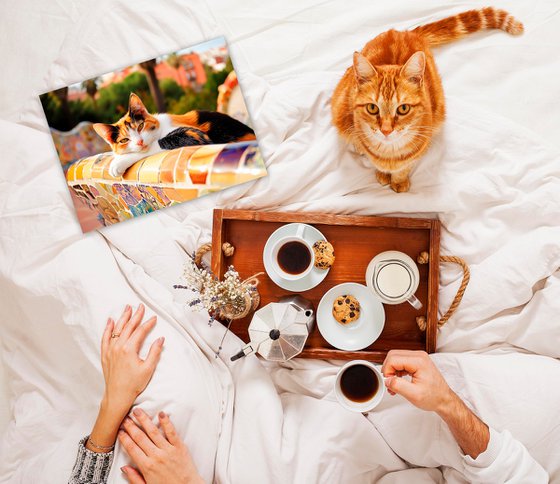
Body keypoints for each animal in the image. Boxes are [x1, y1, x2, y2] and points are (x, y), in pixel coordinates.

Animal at [93, 92, 256, 178]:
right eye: (124, 140)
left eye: (140, 126)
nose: (139, 142)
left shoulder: (193, 134)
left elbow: (155, 145)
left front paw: (118, 162)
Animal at [330, 7, 524, 193]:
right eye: (372, 108)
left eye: (403, 109)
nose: (386, 130)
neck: (390, 154)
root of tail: (404, 32)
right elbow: (373, 157)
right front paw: (382, 172)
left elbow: (405, 167)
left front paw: (398, 180)